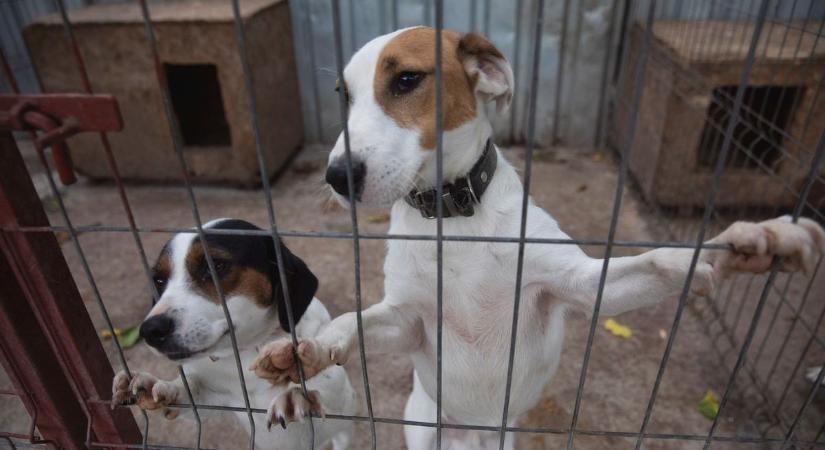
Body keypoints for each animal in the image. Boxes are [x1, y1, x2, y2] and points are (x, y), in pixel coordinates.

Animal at [111, 219, 356, 450]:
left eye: (216, 266)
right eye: (159, 280)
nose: (151, 330)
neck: (248, 351)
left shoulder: (339, 401)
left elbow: (322, 387)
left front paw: (296, 396)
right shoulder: (216, 399)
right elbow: (191, 389)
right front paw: (158, 386)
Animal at [251, 29, 824, 450]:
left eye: (408, 80)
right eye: (343, 96)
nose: (336, 176)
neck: (454, 220)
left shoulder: (580, 285)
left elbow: (663, 262)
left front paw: (756, 242)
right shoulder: (407, 320)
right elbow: (353, 320)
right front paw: (304, 358)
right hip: (423, 425)